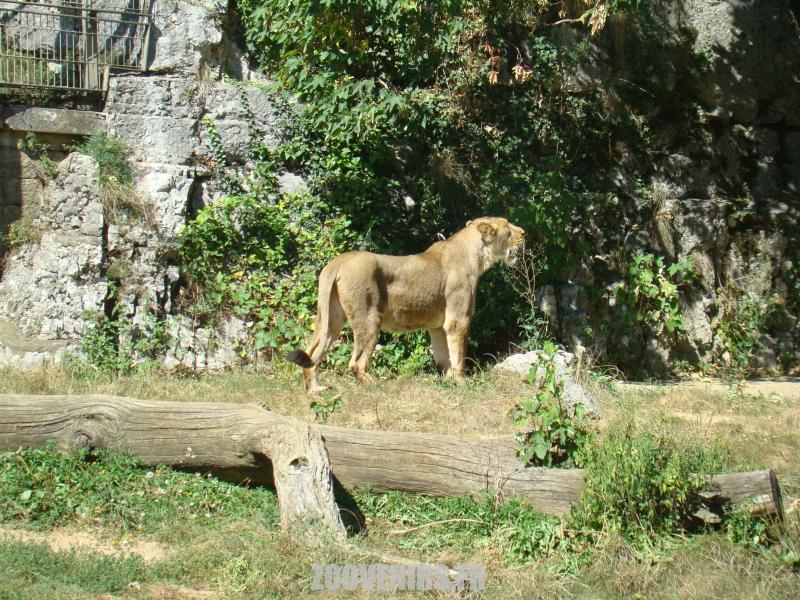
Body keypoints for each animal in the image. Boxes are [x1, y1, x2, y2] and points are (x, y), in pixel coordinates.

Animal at [287, 217, 525, 392]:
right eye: (508, 228)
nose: (524, 233)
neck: (477, 255)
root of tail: (337, 262)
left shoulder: (437, 326)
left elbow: (443, 356)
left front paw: (447, 382)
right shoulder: (458, 319)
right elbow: (458, 355)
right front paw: (461, 383)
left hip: (331, 319)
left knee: (313, 353)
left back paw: (316, 391)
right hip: (369, 319)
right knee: (356, 362)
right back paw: (376, 386)